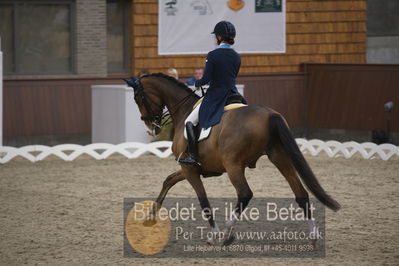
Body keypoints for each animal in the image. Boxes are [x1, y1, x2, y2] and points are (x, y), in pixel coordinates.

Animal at [125, 74, 340, 244]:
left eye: (137, 98)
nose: (151, 128)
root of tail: (270, 115)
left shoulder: (190, 169)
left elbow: (203, 200)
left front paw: (214, 234)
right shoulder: (189, 168)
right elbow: (168, 180)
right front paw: (150, 218)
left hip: (233, 165)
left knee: (245, 194)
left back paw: (226, 233)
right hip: (279, 157)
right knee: (300, 193)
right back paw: (313, 236)